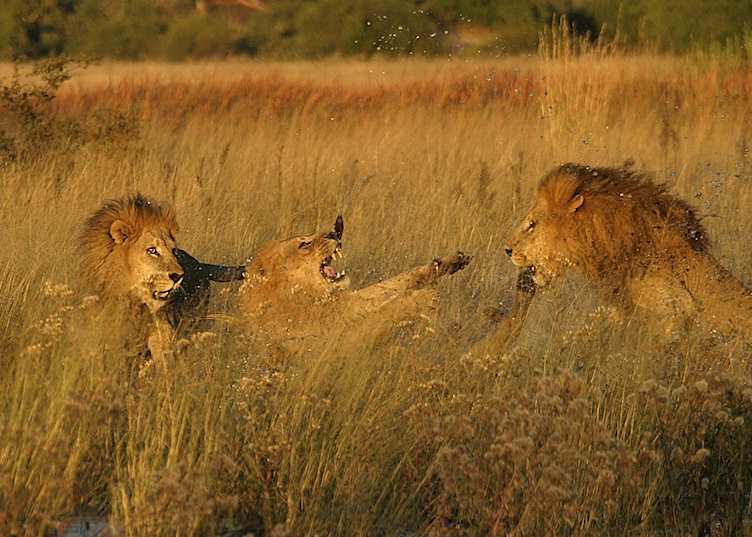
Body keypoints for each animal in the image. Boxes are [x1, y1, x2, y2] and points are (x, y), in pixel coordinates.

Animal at [79, 194, 245, 357]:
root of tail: (199, 264)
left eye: (174, 251)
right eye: (152, 250)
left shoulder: (162, 333)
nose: (179, 276)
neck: (134, 303)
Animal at [238, 216, 472, 354]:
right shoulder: (332, 342)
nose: (335, 231)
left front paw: (448, 263)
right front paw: (422, 299)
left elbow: (394, 284)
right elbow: (383, 313)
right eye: (304, 244)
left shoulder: (348, 305)